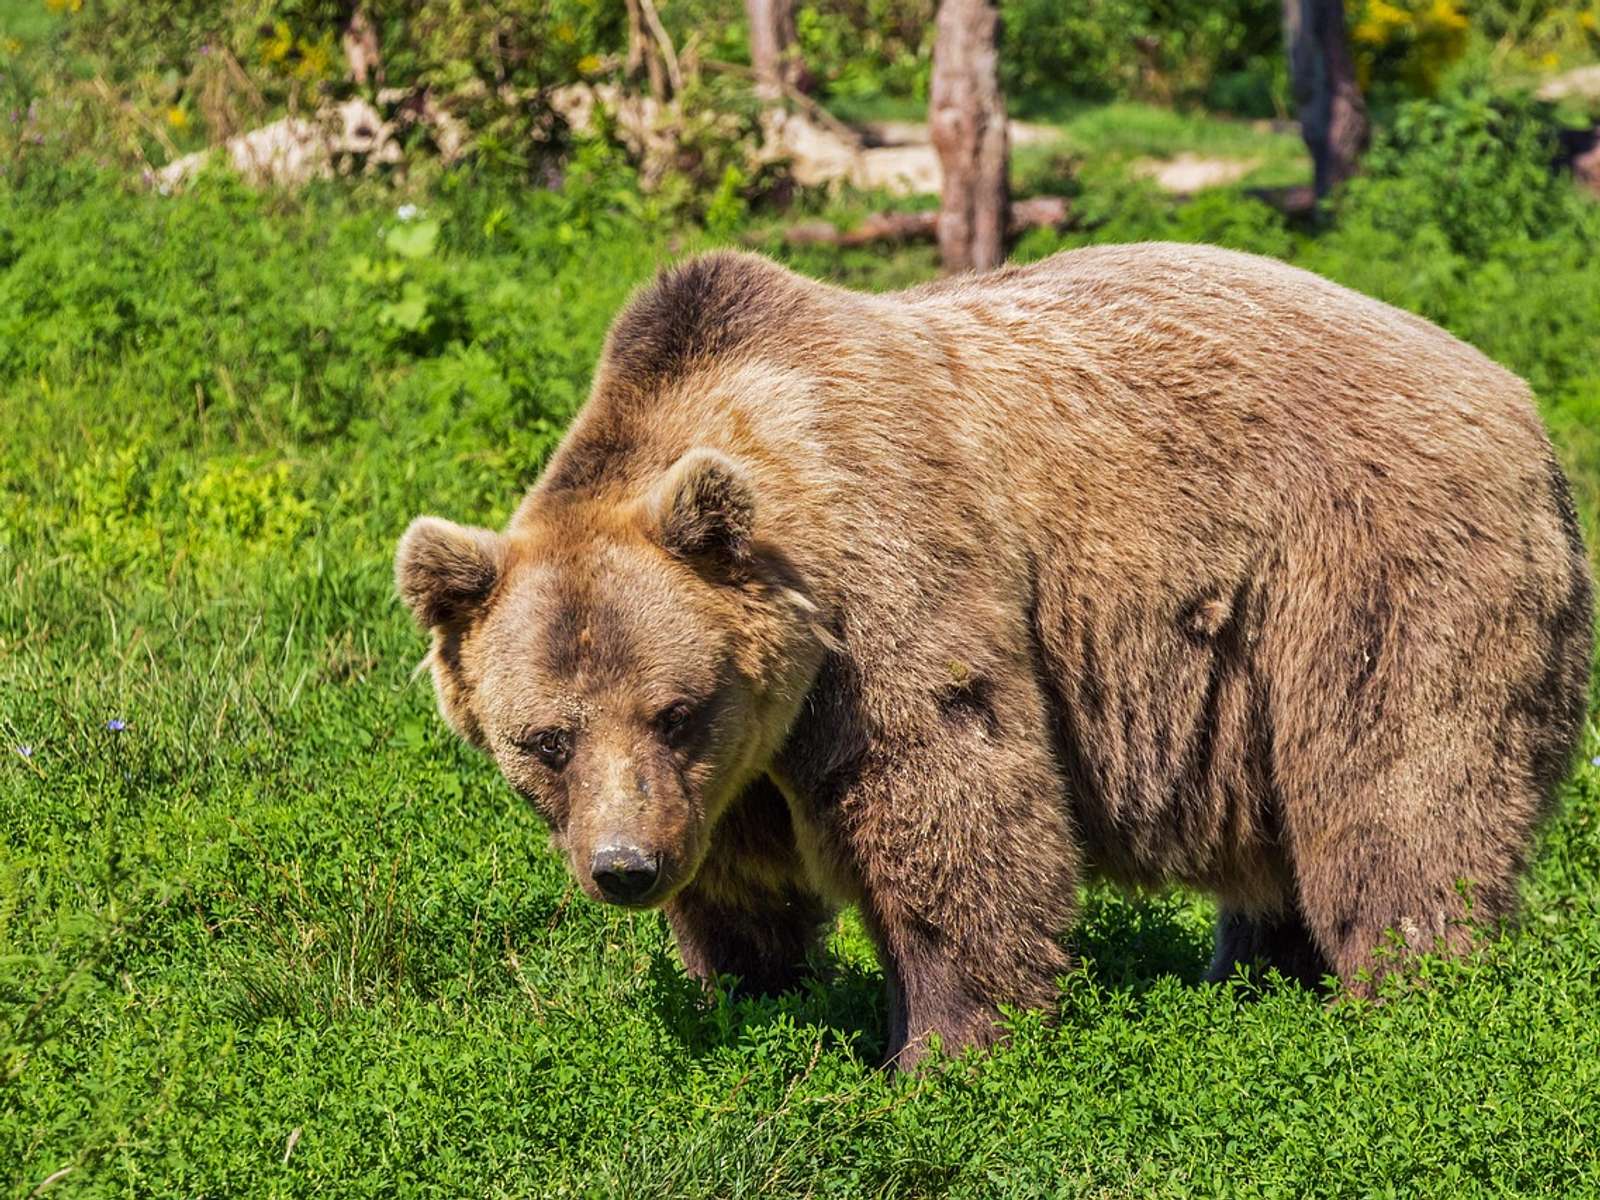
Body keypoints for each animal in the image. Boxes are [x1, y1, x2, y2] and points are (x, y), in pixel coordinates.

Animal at [396, 243, 1593, 1070]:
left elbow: (951, 805)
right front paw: (754, 997)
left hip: (1370, 573)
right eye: (544, 740)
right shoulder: (731, 770)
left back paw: (1408, 995)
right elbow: (741, 887)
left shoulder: (887, 594)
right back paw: (1253, 976)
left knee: (1397, 793)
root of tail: (1520, 401)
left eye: (674, 708)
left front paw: (940, 1051)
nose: (623, 868)